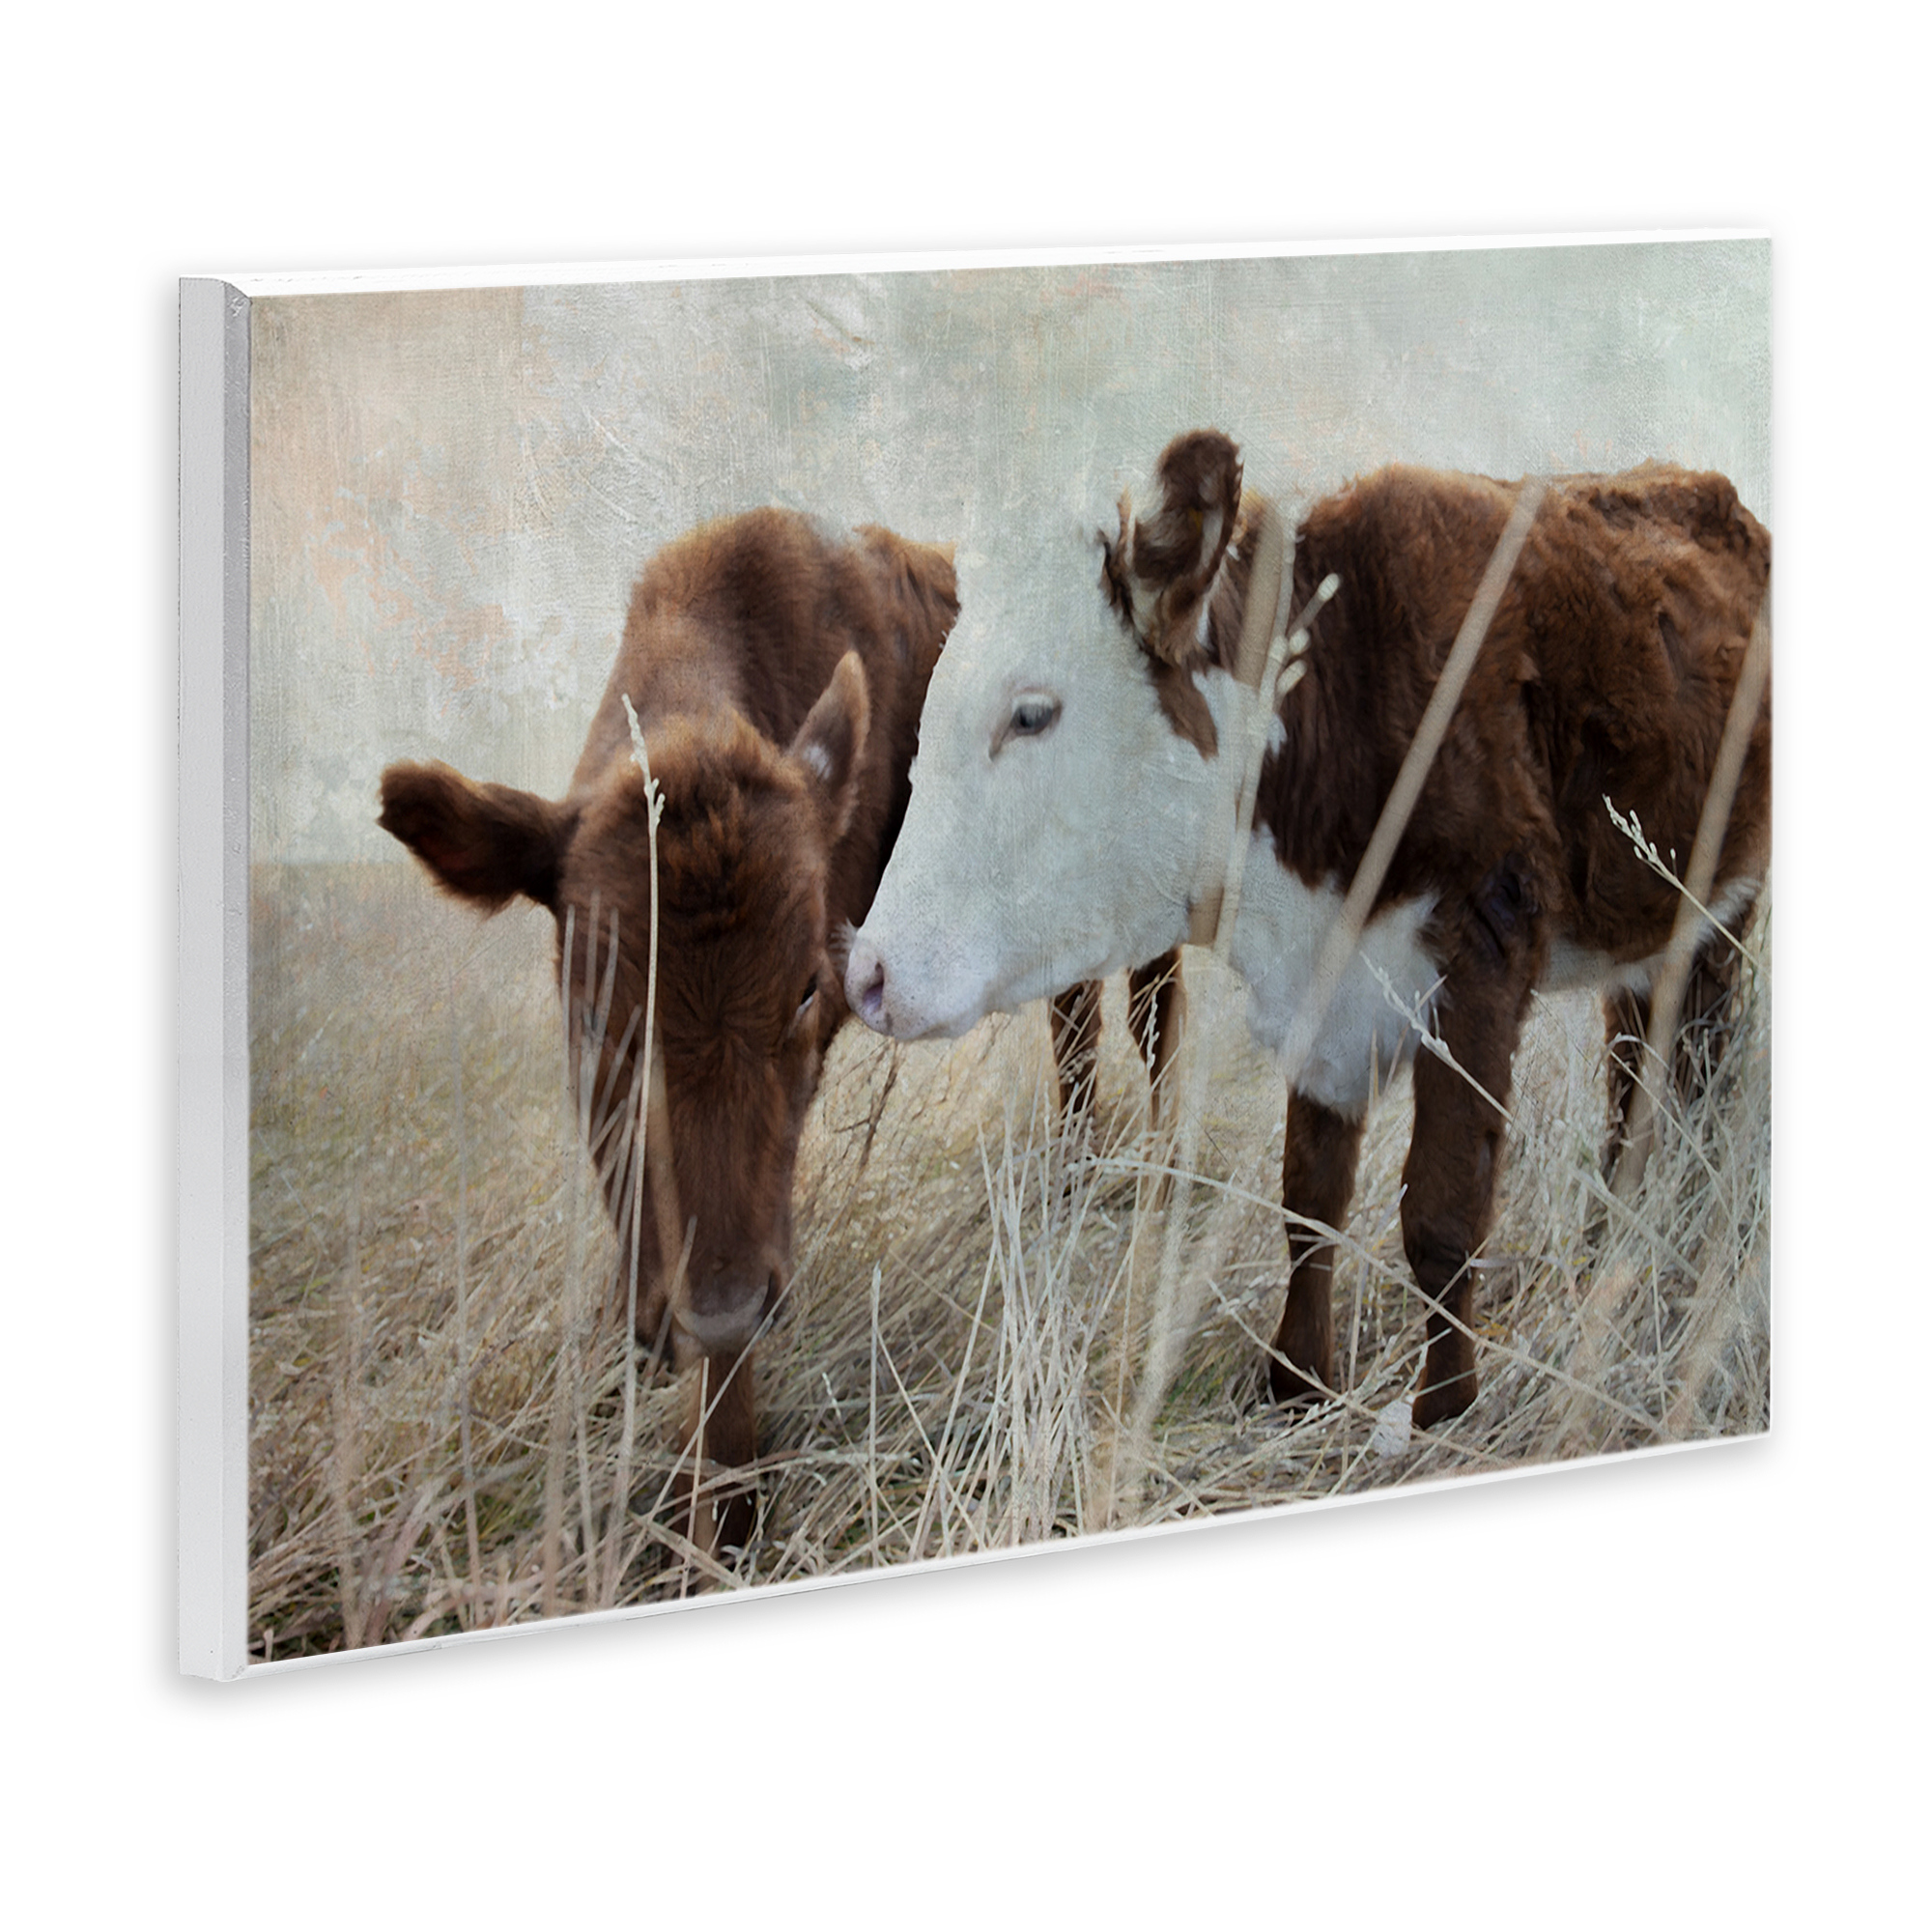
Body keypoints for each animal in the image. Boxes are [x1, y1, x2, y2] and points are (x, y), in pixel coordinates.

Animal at [843, 430, 1770, 1431]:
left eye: (1031, 713)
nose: (869, 973)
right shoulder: (1324, 996)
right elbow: (1310, 1196)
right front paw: (1295, 1382)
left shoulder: (1483, 946)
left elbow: (1442, 1211)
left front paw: (1443, 1411)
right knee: (1635, 1072)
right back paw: (1612, 1242)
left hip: (1724, 910)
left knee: (1700, 1067)